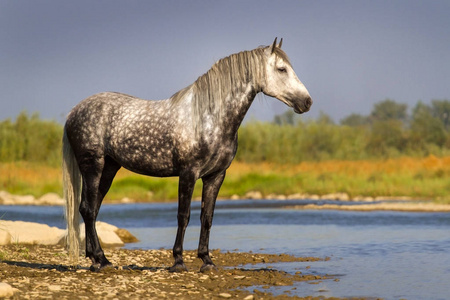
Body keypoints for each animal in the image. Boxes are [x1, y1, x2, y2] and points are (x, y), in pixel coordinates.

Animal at [61, 37, 312, 272]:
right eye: (281, 69)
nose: (307, 102)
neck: (208, 117)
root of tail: (74, 112)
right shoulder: (188, 173)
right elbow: (184, 215)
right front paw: (178, 261)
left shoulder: (216, 176)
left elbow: (206, 217)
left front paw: (207, 261)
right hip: (92, 165)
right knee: (88, 209)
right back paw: (102, 260)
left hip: (109, 168)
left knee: (91, 208)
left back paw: (95, 259)